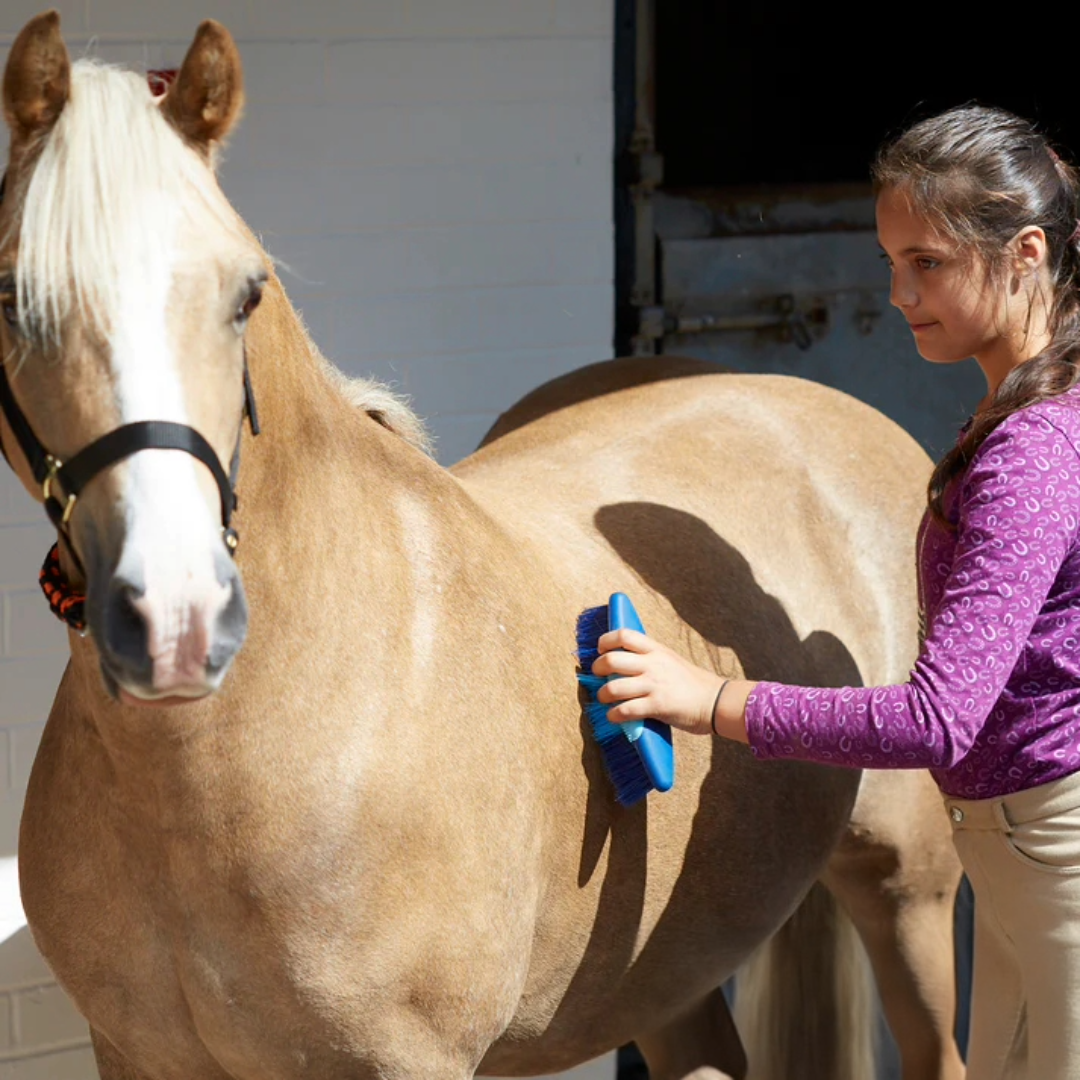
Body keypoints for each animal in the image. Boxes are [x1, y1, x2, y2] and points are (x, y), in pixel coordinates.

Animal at [0, 13, 963, 1080]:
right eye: (8, 295)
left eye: (245, 294)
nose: (174, 617)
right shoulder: (134, 1053)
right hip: (663, 970)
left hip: (908, 889)